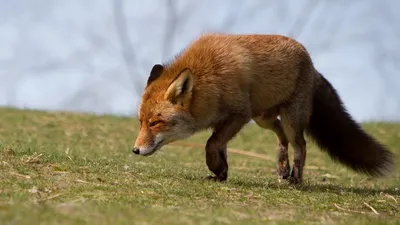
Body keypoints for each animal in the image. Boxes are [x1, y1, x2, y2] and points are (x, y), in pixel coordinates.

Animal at [133, 32, 396, 184]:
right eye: (141, 122)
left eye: (155, 123)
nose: (135, 150)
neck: (210, 79)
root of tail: (311, 63)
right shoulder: (225, 120)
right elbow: (220, 147)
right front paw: (221, 173)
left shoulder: (239, 115)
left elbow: (211, 145)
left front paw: (216, 168)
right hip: (263, 118)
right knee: (281, 136)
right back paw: (282, 167)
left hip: (290, 119)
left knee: (300, 144)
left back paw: (296, 178)